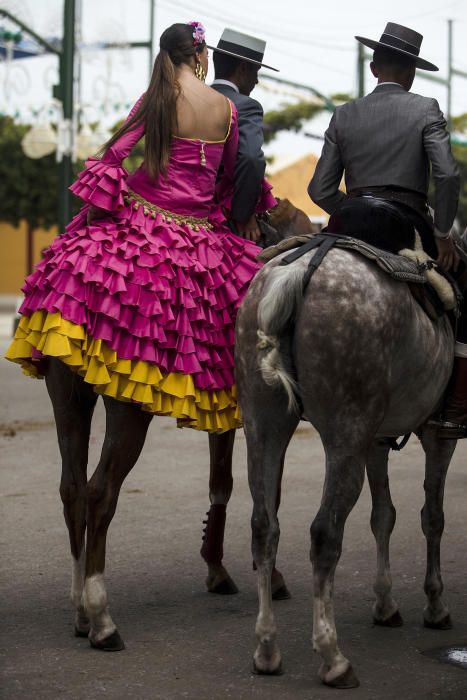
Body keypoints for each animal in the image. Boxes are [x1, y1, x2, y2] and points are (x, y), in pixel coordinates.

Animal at [236, 246, 458, 688]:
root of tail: (300, 267)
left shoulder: (376, 439)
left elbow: (384, 516)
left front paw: (386, 603)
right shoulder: (437, 436)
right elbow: (433, 518)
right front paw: (435, 604)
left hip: (264, 427)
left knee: (264, 528)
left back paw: (267, 649)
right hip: (345, 436)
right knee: (324, 534)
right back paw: (332, 656)